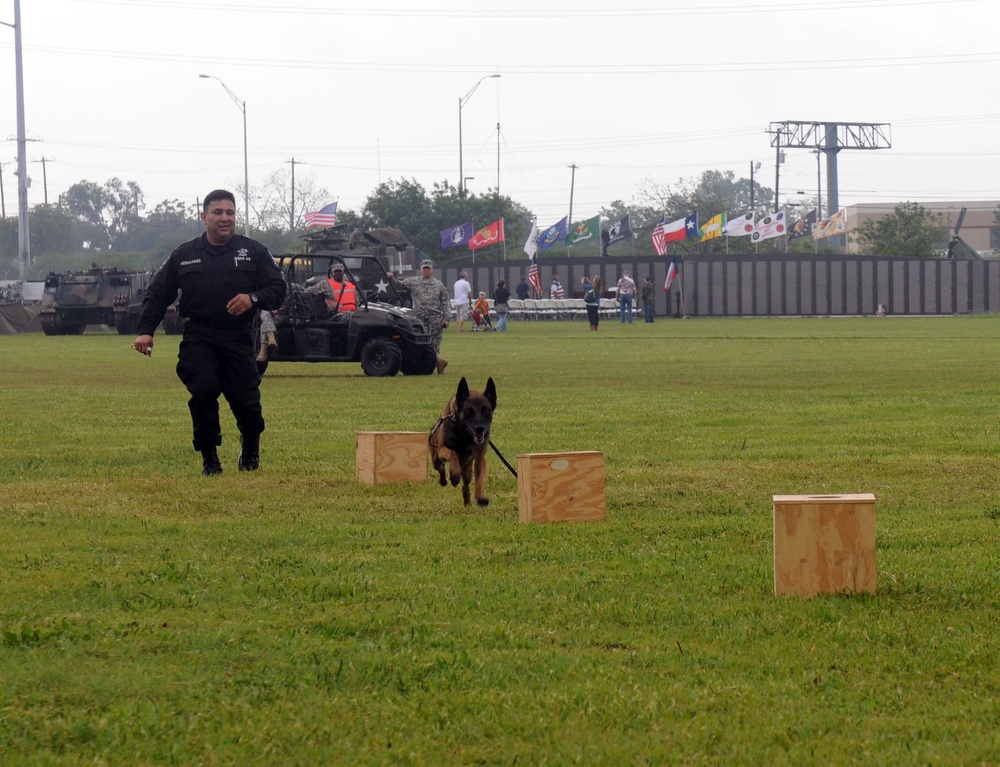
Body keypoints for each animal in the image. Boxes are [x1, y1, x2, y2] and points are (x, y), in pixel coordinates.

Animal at [428, 376, 498, 508]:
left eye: (486, 410)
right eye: (469, 411)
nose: (480, 428)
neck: (463, 433)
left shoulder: (480, 457)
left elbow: (479, 478)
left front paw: (480, 497)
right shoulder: (442, 449)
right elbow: (453, 454)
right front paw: (455, 475)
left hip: (467, 471)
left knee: (465, 485)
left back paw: (468, 503)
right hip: (435, 459)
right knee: (440, 467)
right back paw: (444, 480)